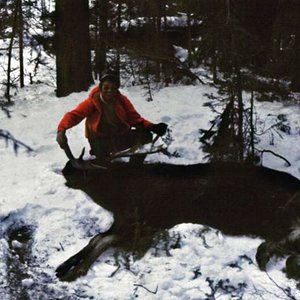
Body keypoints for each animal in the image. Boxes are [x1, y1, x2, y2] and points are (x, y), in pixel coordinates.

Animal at [55, 159, 300, 282]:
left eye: (80, 168)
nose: (64, 171)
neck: (117, 196)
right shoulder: (123, 220)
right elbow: (96, 239)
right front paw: (65, 266)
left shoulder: (146, 222)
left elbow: (101, 240)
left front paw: (75, 270)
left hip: (283, 215)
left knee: (287, 240)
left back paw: (266, 255)